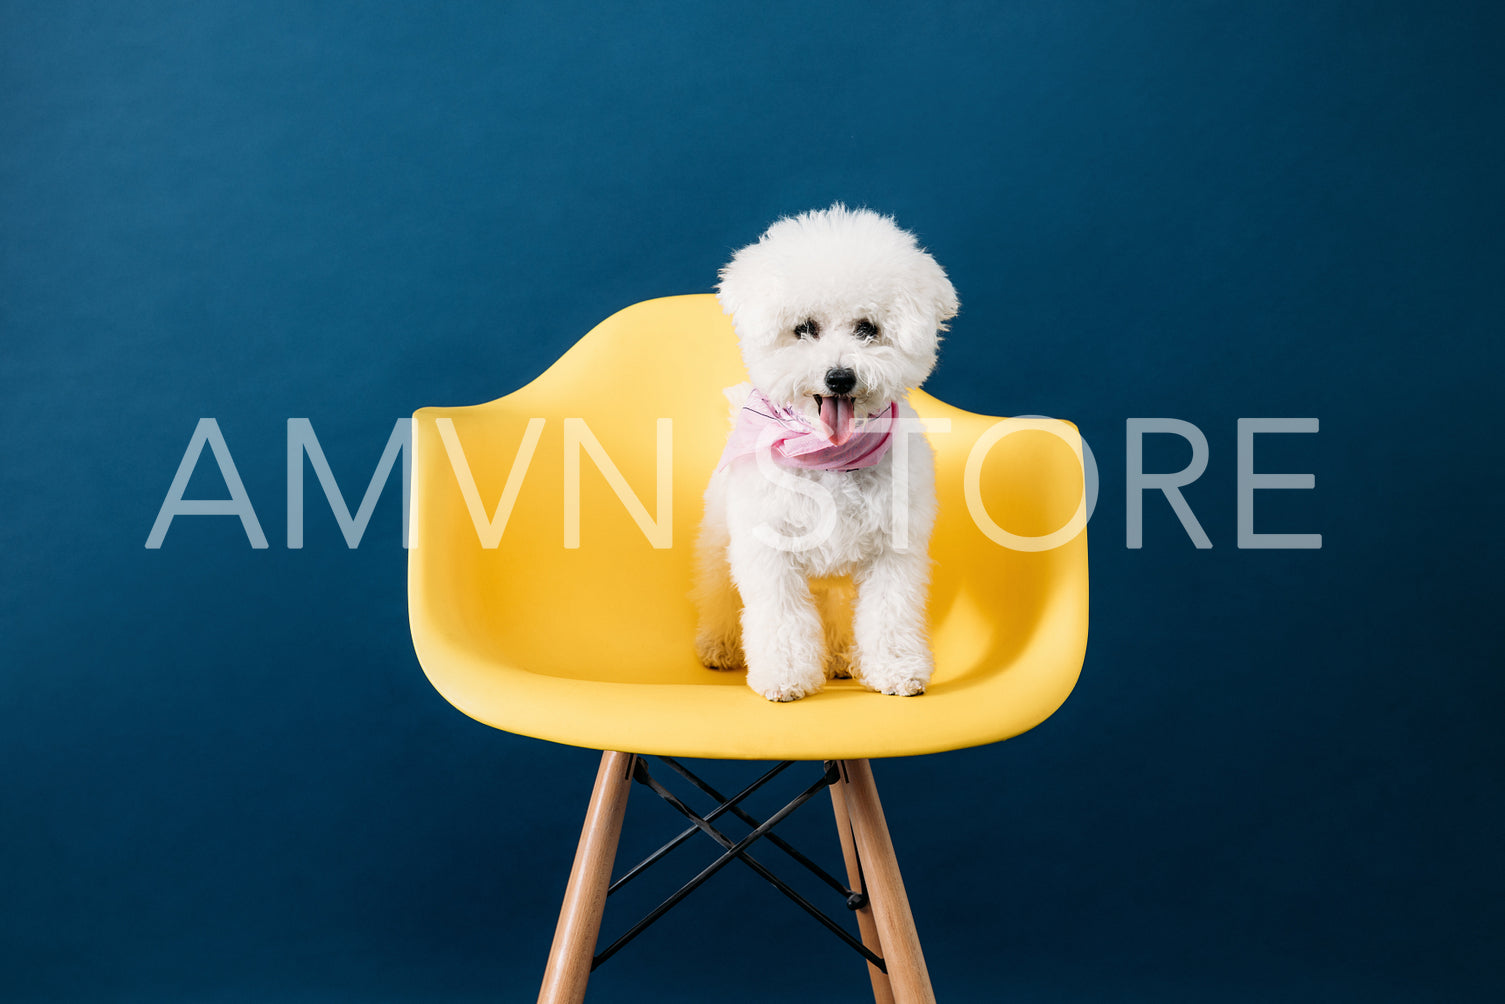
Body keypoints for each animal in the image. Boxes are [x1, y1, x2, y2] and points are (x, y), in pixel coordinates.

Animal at [695, 204, 957, 704]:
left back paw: (838, 658)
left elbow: (890, 613)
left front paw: (896, 670)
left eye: (867, 328)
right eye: (804, 329)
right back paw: (719, 645)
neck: (829, 456)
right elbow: (780, 617)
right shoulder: (769, 548)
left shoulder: (893, 549)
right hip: (721, 544)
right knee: (718, 592)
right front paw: (784, 675)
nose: (839, 377)